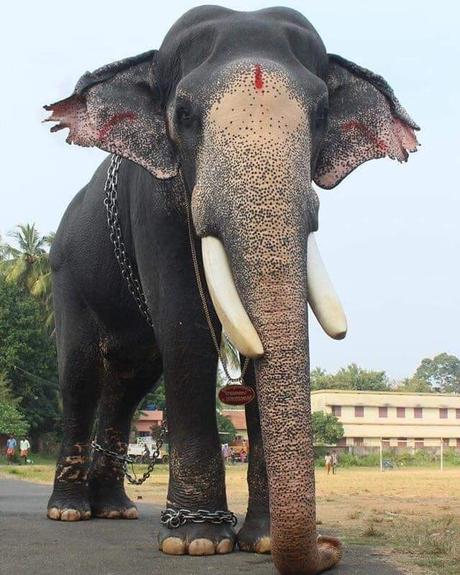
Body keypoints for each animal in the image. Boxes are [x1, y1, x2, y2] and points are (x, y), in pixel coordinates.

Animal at [45, 5, 418, 575]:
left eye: (320, 114)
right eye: (183, 114)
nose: (331, 545)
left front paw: (259, 541)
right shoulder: (154, 205)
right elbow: (189, 335)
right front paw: (196, 540)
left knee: (129, 385)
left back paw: (115, 509)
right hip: (66, 274)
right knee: (81, 374)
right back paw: (68, 512)